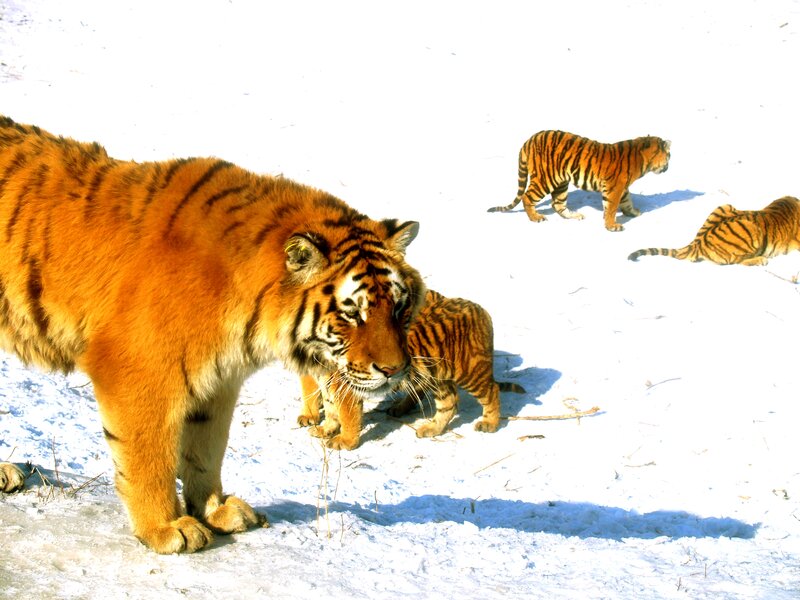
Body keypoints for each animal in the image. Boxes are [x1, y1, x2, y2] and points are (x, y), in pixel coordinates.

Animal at [0, 115, 425, 553]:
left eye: (399, 307)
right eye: (352, 313)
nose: (395, 371)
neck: (250, 314)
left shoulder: (219, 383)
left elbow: (207, 451)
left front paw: (216, 510)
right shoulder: (139, 373)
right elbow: (149, 457)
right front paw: (166, 528)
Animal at [297, 289, 526, 447]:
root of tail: (480, 308)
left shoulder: (345, 386)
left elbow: (346, 414)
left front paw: (345, 442)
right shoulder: (326, 382)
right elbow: (330, 409)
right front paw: (325, 429)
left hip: (471, 371)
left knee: (491, 391)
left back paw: (489, 424)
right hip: (438, 377)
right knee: (449, 402)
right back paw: (431, 428)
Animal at [487, 130, 671, 231]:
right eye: (669, 156)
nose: (668, 167)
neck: (643, 160)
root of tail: (529, 140)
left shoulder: (621, 188)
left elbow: (627, 201)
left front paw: (633, 212)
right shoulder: (615, 187)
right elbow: (611, 208)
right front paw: (612, 226)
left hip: (560, 182)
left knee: (557, 204)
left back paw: (575, 215)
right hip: (545, 179)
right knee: (527, 197)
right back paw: (536, 217)